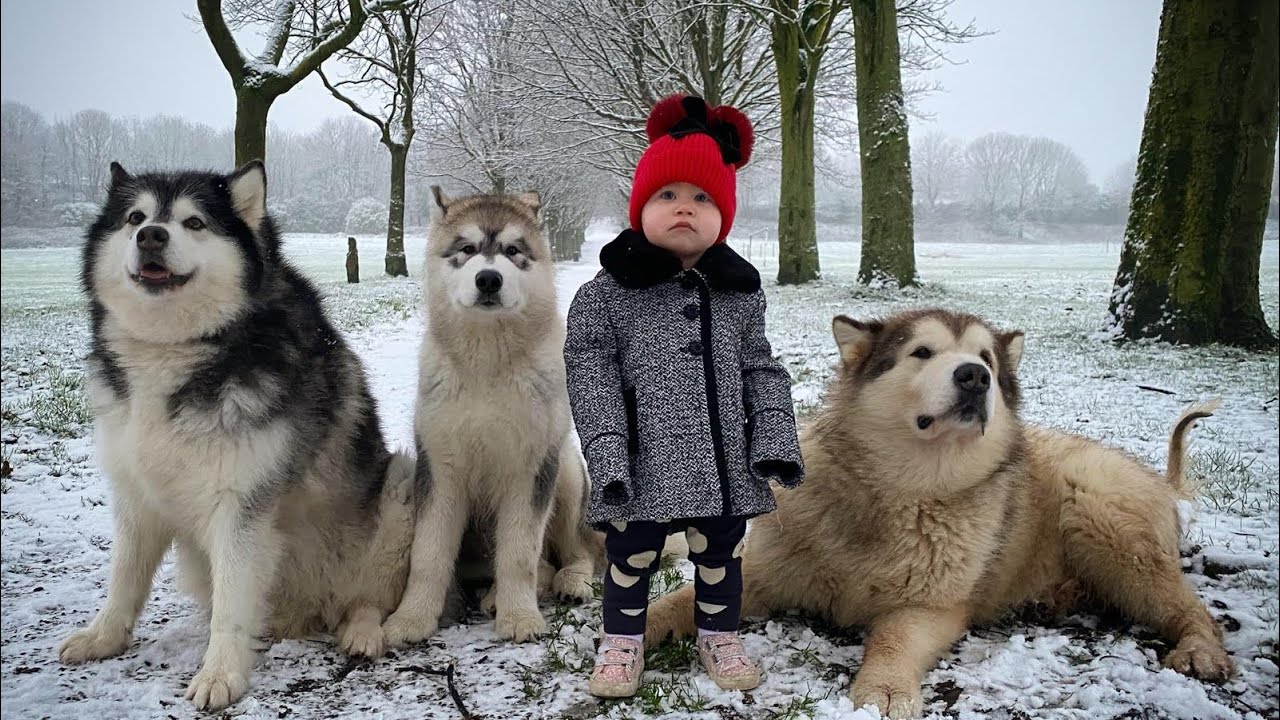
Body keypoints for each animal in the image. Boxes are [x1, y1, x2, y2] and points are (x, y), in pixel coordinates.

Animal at [58, 161, 417, 711]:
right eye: (135, 217)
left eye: (194, 222)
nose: (151, 236)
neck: (176, 351)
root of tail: (311, 613)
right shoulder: (136, 493)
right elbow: (124, 579)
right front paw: (103, 637)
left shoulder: (240, 501)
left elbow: (231, 603)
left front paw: (220, 674)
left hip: (399, 486)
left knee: (368, 598)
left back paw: (362, 631)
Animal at [382, 187, 597, 646]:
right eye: (467, 249)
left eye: (514, 251)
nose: (488, 280)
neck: (487, 363)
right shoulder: (440, 470)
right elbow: (428, 553)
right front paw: (411, 618)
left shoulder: (530, 471)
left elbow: (519, 554)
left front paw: (520, 617)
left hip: (567, 473)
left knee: (579, 550)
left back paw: (569, 581)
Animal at [645, 308, 1234, 718]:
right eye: (923, 352)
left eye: (987, 360)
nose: (975, 376)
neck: (900, 491)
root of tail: (1158, 478)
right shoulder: (767, 573)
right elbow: (681, 601)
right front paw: (641, 628)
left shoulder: (931, 607)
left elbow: (893, 638)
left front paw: (884, 689)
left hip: (1101, 517)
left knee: (1190, 607)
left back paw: (1201, 649)